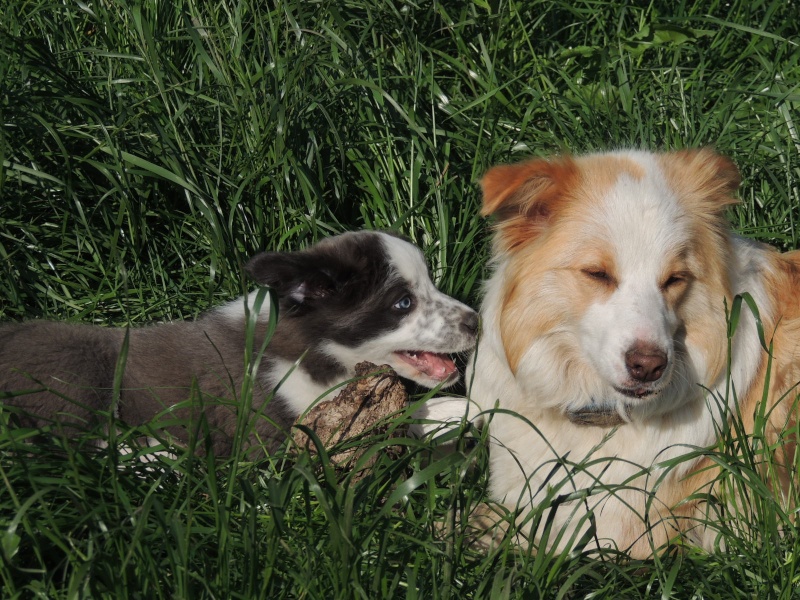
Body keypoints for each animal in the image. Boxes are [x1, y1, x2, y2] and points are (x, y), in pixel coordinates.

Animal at [0, 232, 476, 458]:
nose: (475, 322)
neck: (312, 350)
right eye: (403, 302)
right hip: (72, 375)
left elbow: (416, 411)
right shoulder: (285, 432)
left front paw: (469, 411)